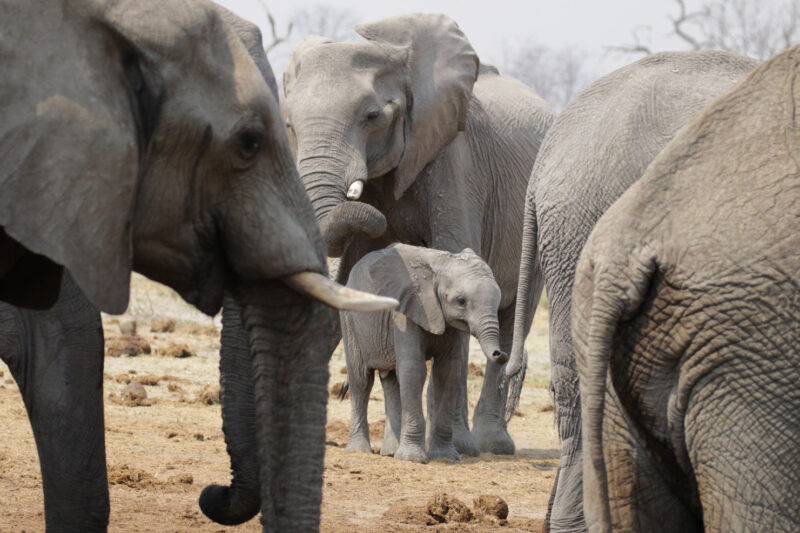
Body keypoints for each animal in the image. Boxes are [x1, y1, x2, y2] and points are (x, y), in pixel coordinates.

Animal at [340, 242, 506, 462]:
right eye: (461, 301)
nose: (500, 354)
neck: (439, 266)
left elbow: (448, 373)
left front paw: (445, 457)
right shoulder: (406, 312)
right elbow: (414, 370)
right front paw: (412, 459)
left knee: (392, 381)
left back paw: (391, 452)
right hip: (350, 318)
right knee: (361, 379)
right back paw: (360, 450)